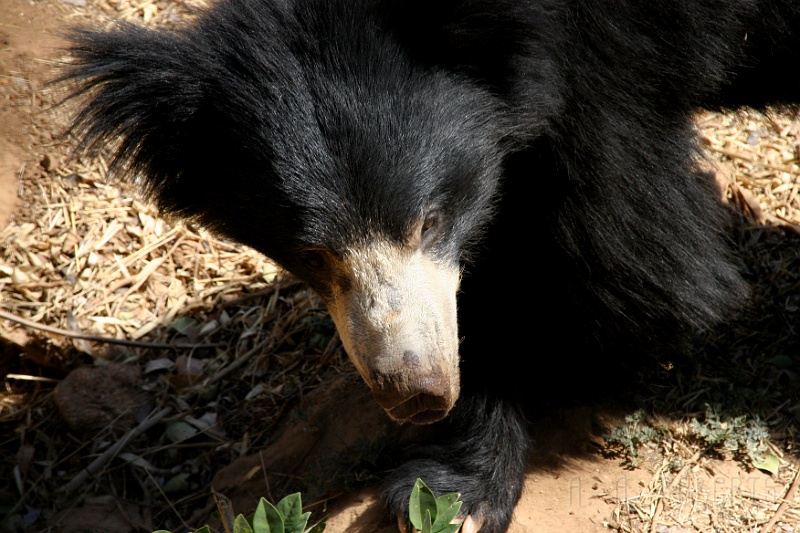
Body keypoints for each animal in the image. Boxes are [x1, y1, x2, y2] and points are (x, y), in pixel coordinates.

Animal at [62, 0, 800, 531]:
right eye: (311, 254)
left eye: (430, 220)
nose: (413, 390)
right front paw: (451, 485)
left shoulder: (608, 77)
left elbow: (634, 267)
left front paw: (466, 489)